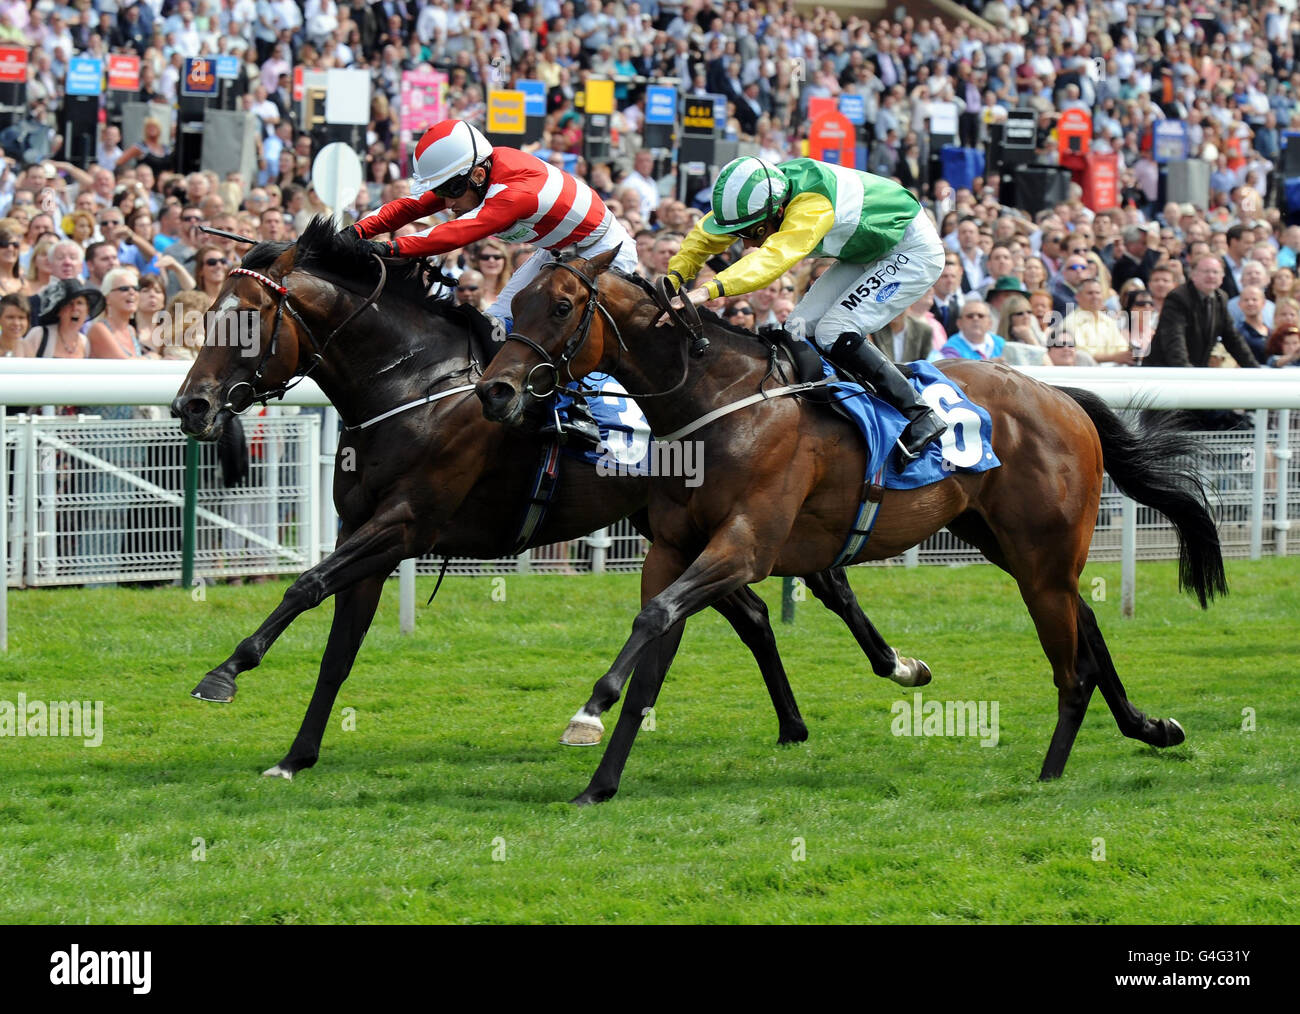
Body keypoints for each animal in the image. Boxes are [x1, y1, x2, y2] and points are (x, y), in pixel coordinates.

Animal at [167, 219, 930, 774]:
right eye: (204, 315)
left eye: (245, 322)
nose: (190, 406)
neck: (413, 386)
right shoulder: (368, 537)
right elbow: (337, 651)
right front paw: (296, 756)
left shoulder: (403, 526)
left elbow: (306, 585)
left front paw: (224, 673)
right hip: (674, 525)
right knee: (754, 614)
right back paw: (798, 720)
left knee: (819, 585)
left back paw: (893, 665)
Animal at [473, 249, 1222, 806]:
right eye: (516, 304)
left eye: (561, 307)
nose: (495, 391)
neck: (716, 402)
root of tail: (1060, 395)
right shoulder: (673, 550)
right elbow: (652, 654)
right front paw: (600, 784)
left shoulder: (743, 548)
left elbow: (655, 619)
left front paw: (587, 712)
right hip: (1013, 546)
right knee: (1087, 629)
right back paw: (1150, 728)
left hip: (1043, 554)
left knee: (1072, 666)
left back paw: (1050, 774)